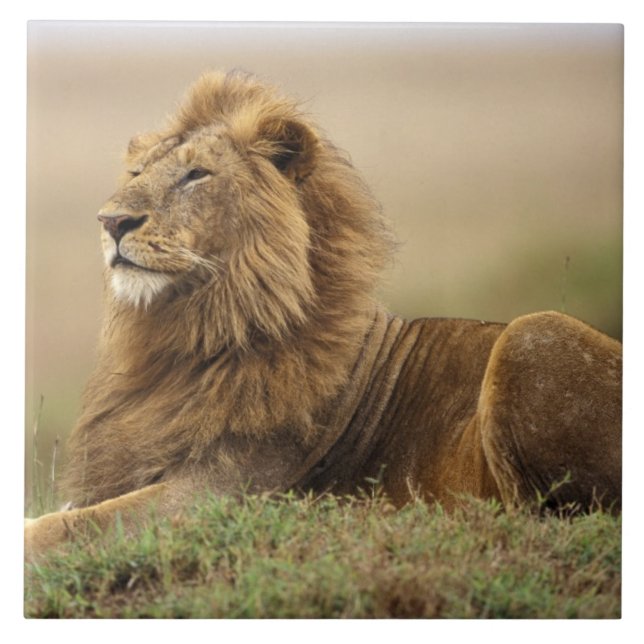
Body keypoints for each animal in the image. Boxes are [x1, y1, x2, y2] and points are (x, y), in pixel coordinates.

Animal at [25, 71, 621, 559]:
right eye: (136, 172)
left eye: (197, 174)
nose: (110, 221)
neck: (192, 335)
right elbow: (62, 515)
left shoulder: (220, 493)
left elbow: (70, 529)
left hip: (534, 332)